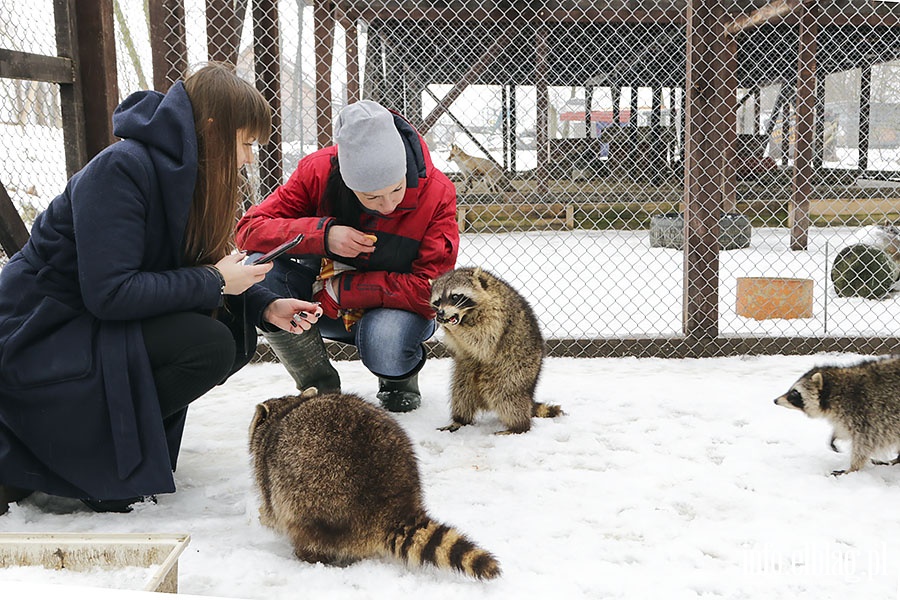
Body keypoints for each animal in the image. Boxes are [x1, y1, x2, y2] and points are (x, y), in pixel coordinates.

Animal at [248, 386, 500, 580]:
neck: (286, 409)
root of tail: (391, 503)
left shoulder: (266, 468)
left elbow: (270, 507)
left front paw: (263, 517)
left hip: (313, 500)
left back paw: (307, 554)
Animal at [428, 268, 564, 436]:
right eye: (438, 301)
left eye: (454, 296)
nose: (440, 313)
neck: (466, 315)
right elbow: (462, 347)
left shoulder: (497, 313)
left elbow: (484, 341)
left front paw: (455, 328)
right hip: (466, 371)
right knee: (461, 392)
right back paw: (460, 419)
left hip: (515, 369)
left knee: (506, 395)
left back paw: (518, 426)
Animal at [768, 354, 900, 476]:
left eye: (794, 393)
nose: (775, 400)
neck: (835, 392)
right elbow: (845, 430)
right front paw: (835, 435)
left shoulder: (868, 415)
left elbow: (864, 444)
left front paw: (852, 468)